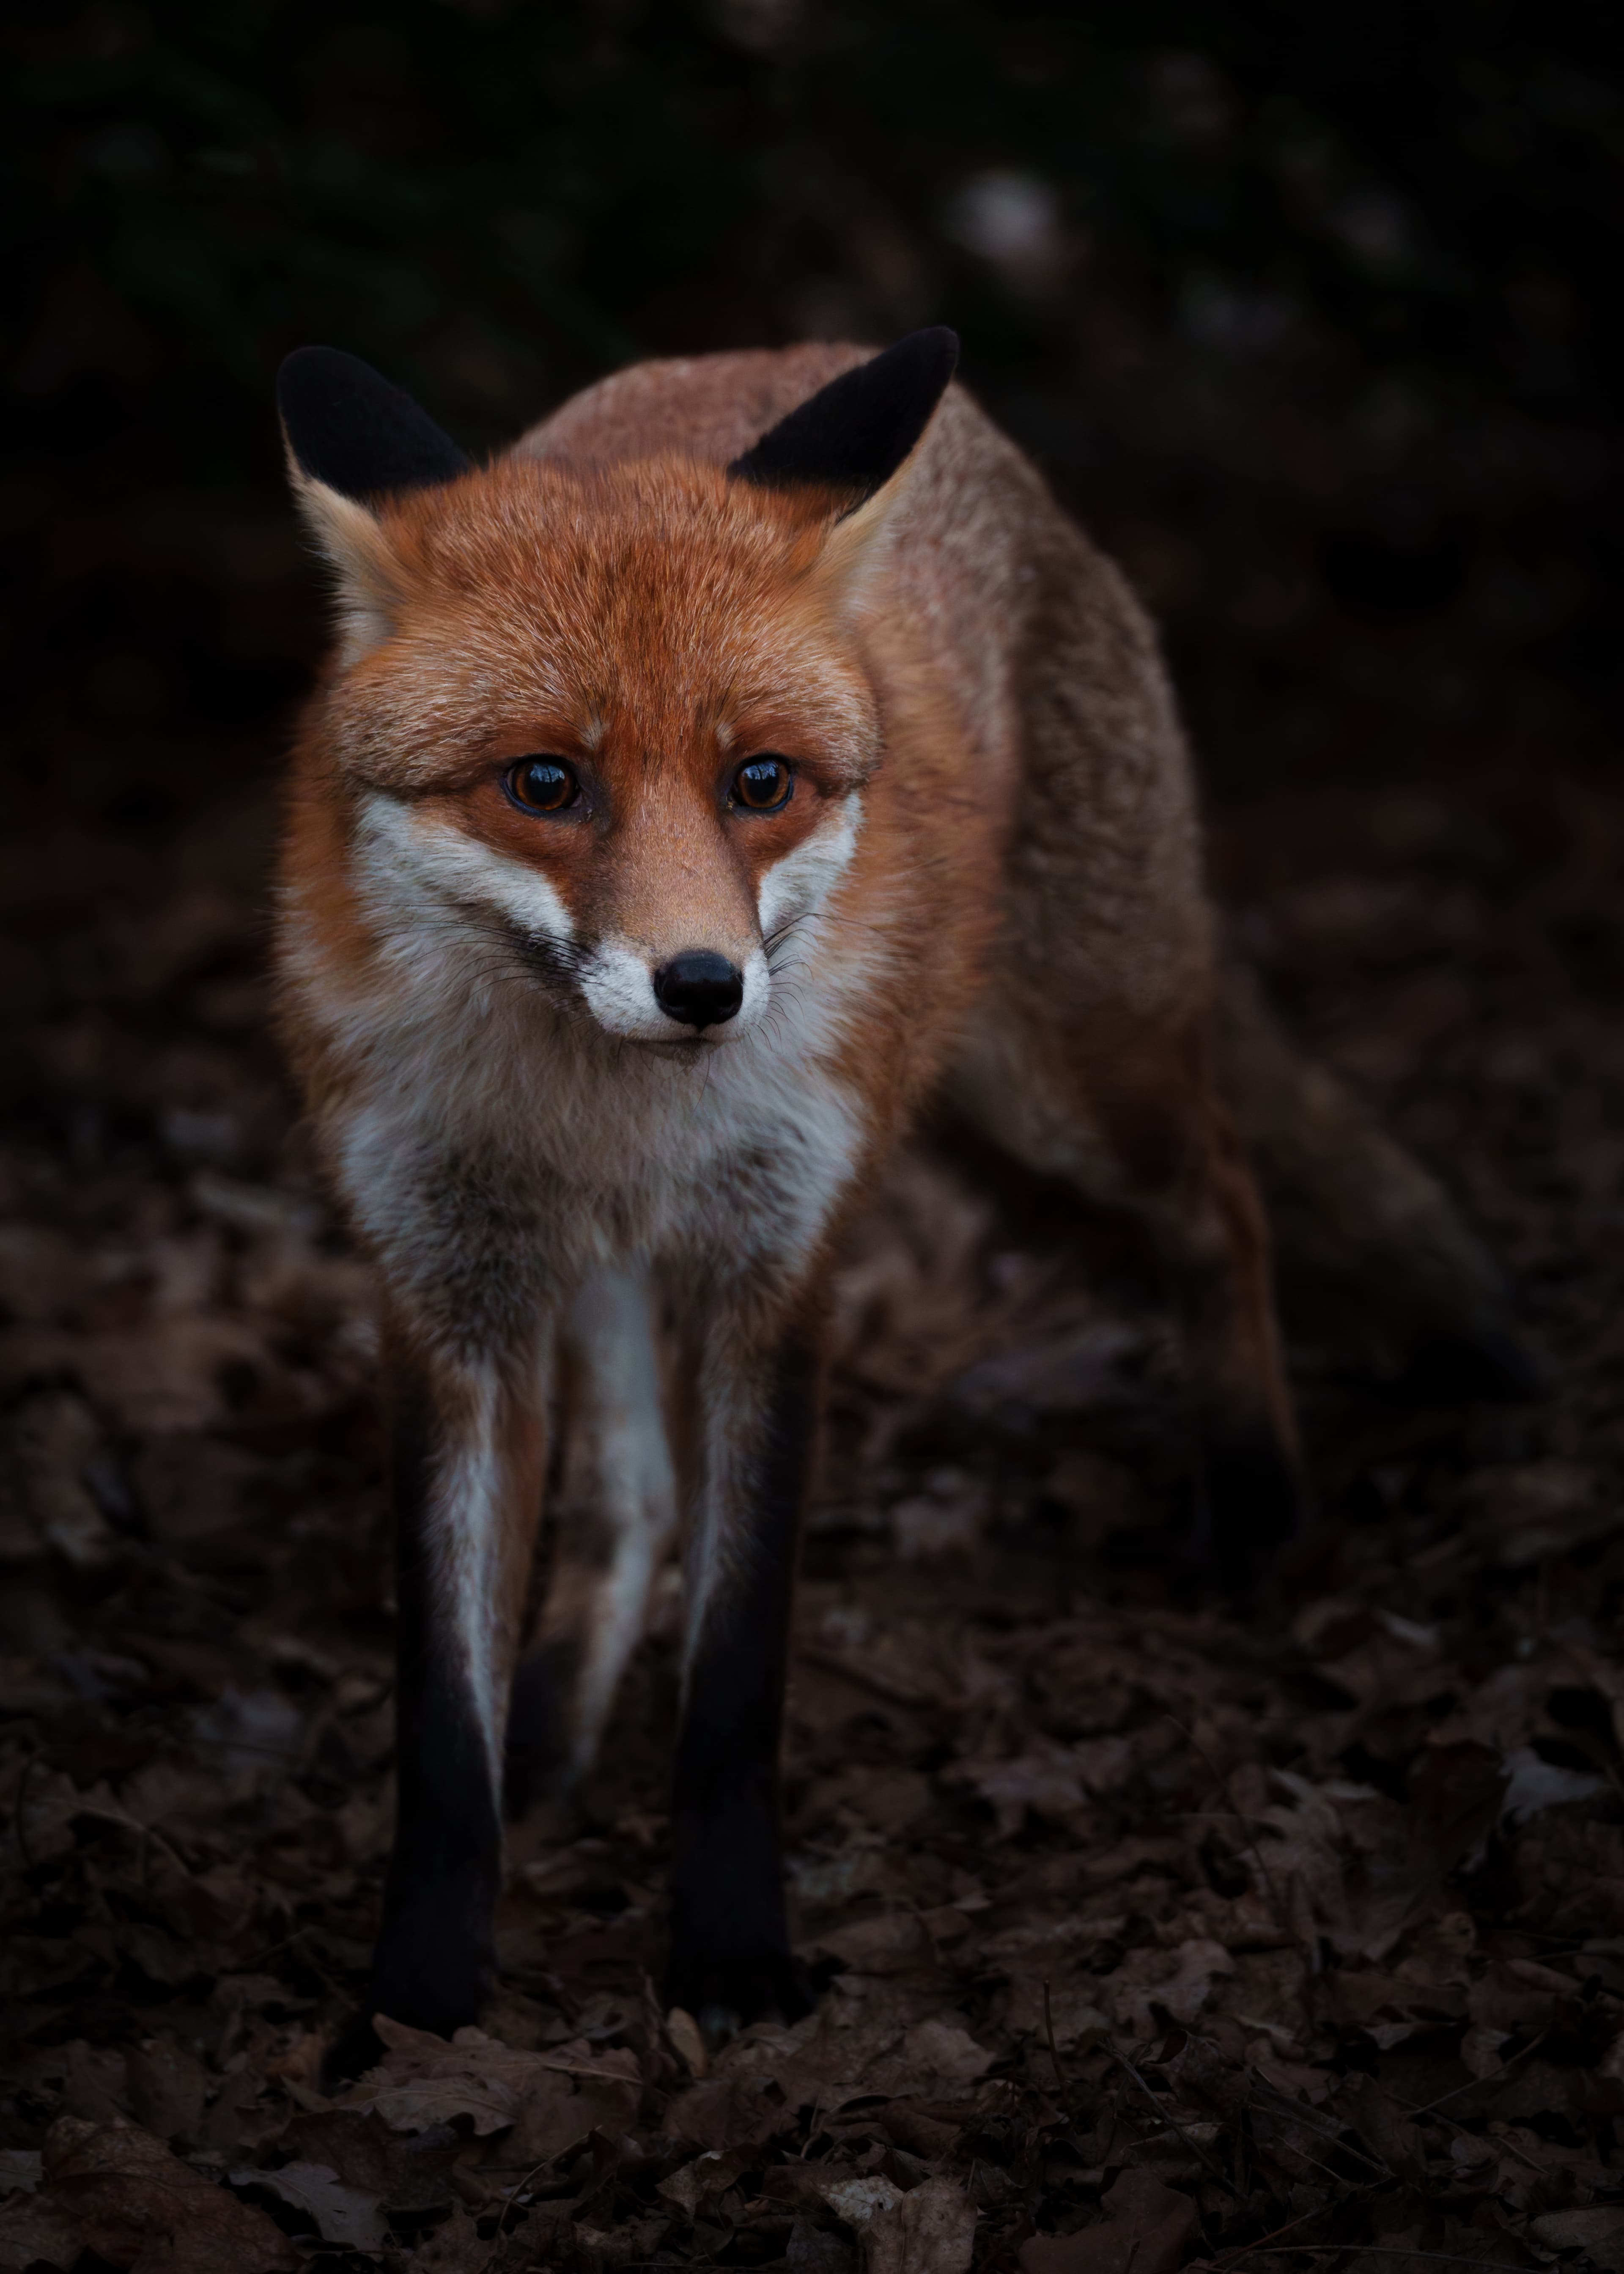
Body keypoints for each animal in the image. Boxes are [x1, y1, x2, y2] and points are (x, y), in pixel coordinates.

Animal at [273, 331, 1531, 2073]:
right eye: (544, 782)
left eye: (760, 780)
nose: (704, 985)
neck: (601, 1108)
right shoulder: (446, 1299)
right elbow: (442, 1738)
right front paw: (418, 2005)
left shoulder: (777, 1270)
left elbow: (737, 1681)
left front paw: (735, 1966)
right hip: (617, 1261)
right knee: (631, 1494)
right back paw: (561, 1716)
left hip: (1065, 1082)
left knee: (1225, 1187)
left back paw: (1253, 1508)